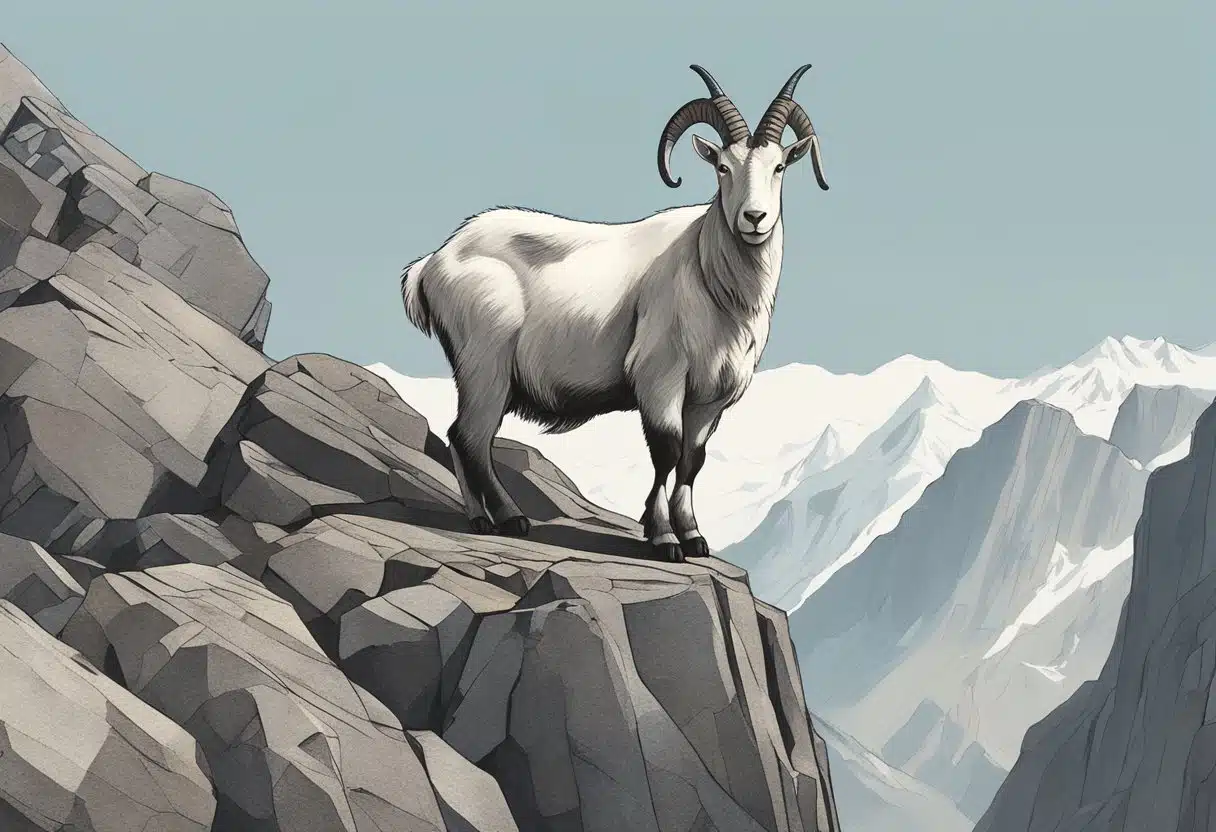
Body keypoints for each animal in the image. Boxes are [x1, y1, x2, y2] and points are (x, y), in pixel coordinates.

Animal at [400, 64, 829, 562]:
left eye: (779, 167)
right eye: (723, 166)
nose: (754, 218)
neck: (708, 275)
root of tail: (435, 260)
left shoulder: (709, 400)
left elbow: (693, 461)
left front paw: (694, 537)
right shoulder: (659, 380)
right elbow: (666, 452)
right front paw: (664, 539)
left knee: (462, 436)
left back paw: (484, 519)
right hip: (484, 367)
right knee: (470, 436)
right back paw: (506, 519)